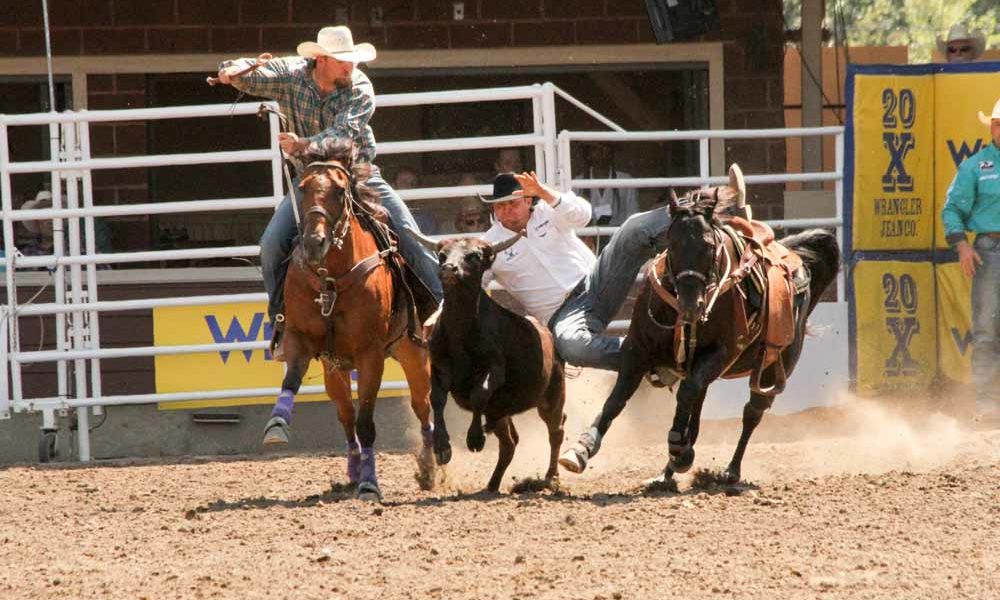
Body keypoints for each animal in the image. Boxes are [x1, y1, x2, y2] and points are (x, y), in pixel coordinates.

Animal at [264, 139, 436, 502]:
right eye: (302, 188)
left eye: (340, 191)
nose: (314, 243)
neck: (330, 279)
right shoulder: (299, 339)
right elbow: (292, 381)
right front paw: (277, 424)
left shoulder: (370, 355)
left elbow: (367, 423)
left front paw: (371, 484)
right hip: (335, 369)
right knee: (345, 416)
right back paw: (353, 471)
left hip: (414, 355)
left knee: (423, 407)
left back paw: (430, 465)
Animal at [560, 169, 840, 488]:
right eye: (671, 244)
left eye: (709, 246)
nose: (692, 305)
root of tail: (795, 261)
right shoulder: (637, 350)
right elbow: (616, 399)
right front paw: (581, 449)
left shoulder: (721, 354)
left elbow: (685, 397)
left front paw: (678, 448)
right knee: (698, 408)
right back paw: (666, 473)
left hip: (773, 369)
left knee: (750, 414)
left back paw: (729, 470)